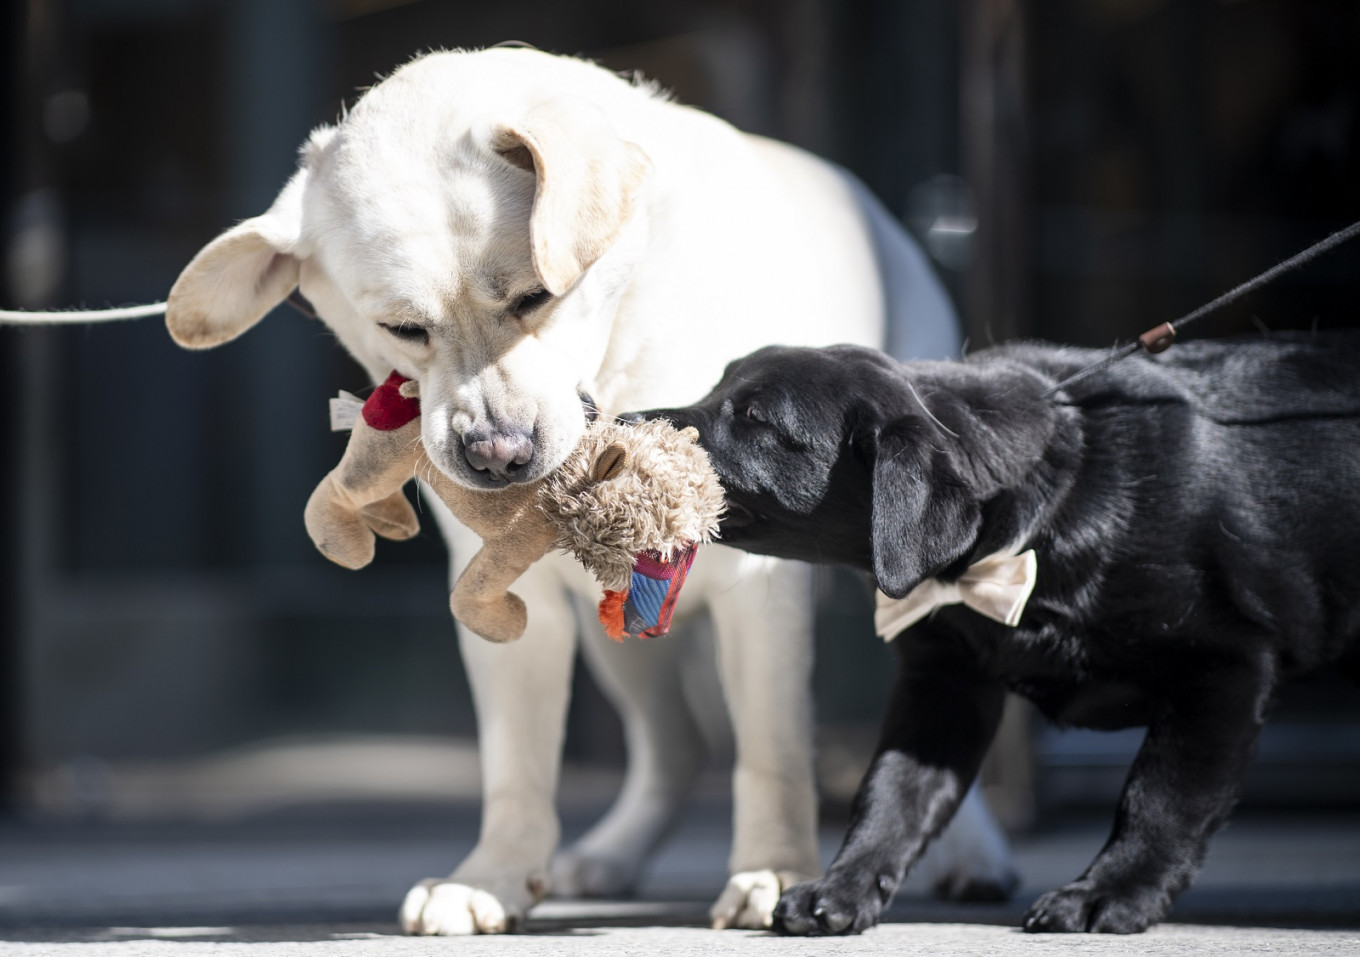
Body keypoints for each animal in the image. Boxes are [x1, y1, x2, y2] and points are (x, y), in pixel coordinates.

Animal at [164, 46, 1011, 935]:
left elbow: (773, 748)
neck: (621, 359)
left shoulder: (759, 587)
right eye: (404, 329)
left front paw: (775, 868)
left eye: (537, 296)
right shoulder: (508, 597)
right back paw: (613, 853)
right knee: (676, 747)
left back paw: (975, 853)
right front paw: (494, 876)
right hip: (624, 640)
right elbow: (515, 762)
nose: (497, 455)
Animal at [641, 334, 1360, 935]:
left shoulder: (1225, 665)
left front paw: (1108, 894)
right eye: (717, 384)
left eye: (756, 418)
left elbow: (1158, 798)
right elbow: (891, 795)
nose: (623, 420)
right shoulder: (944, 685)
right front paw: (843, 888)